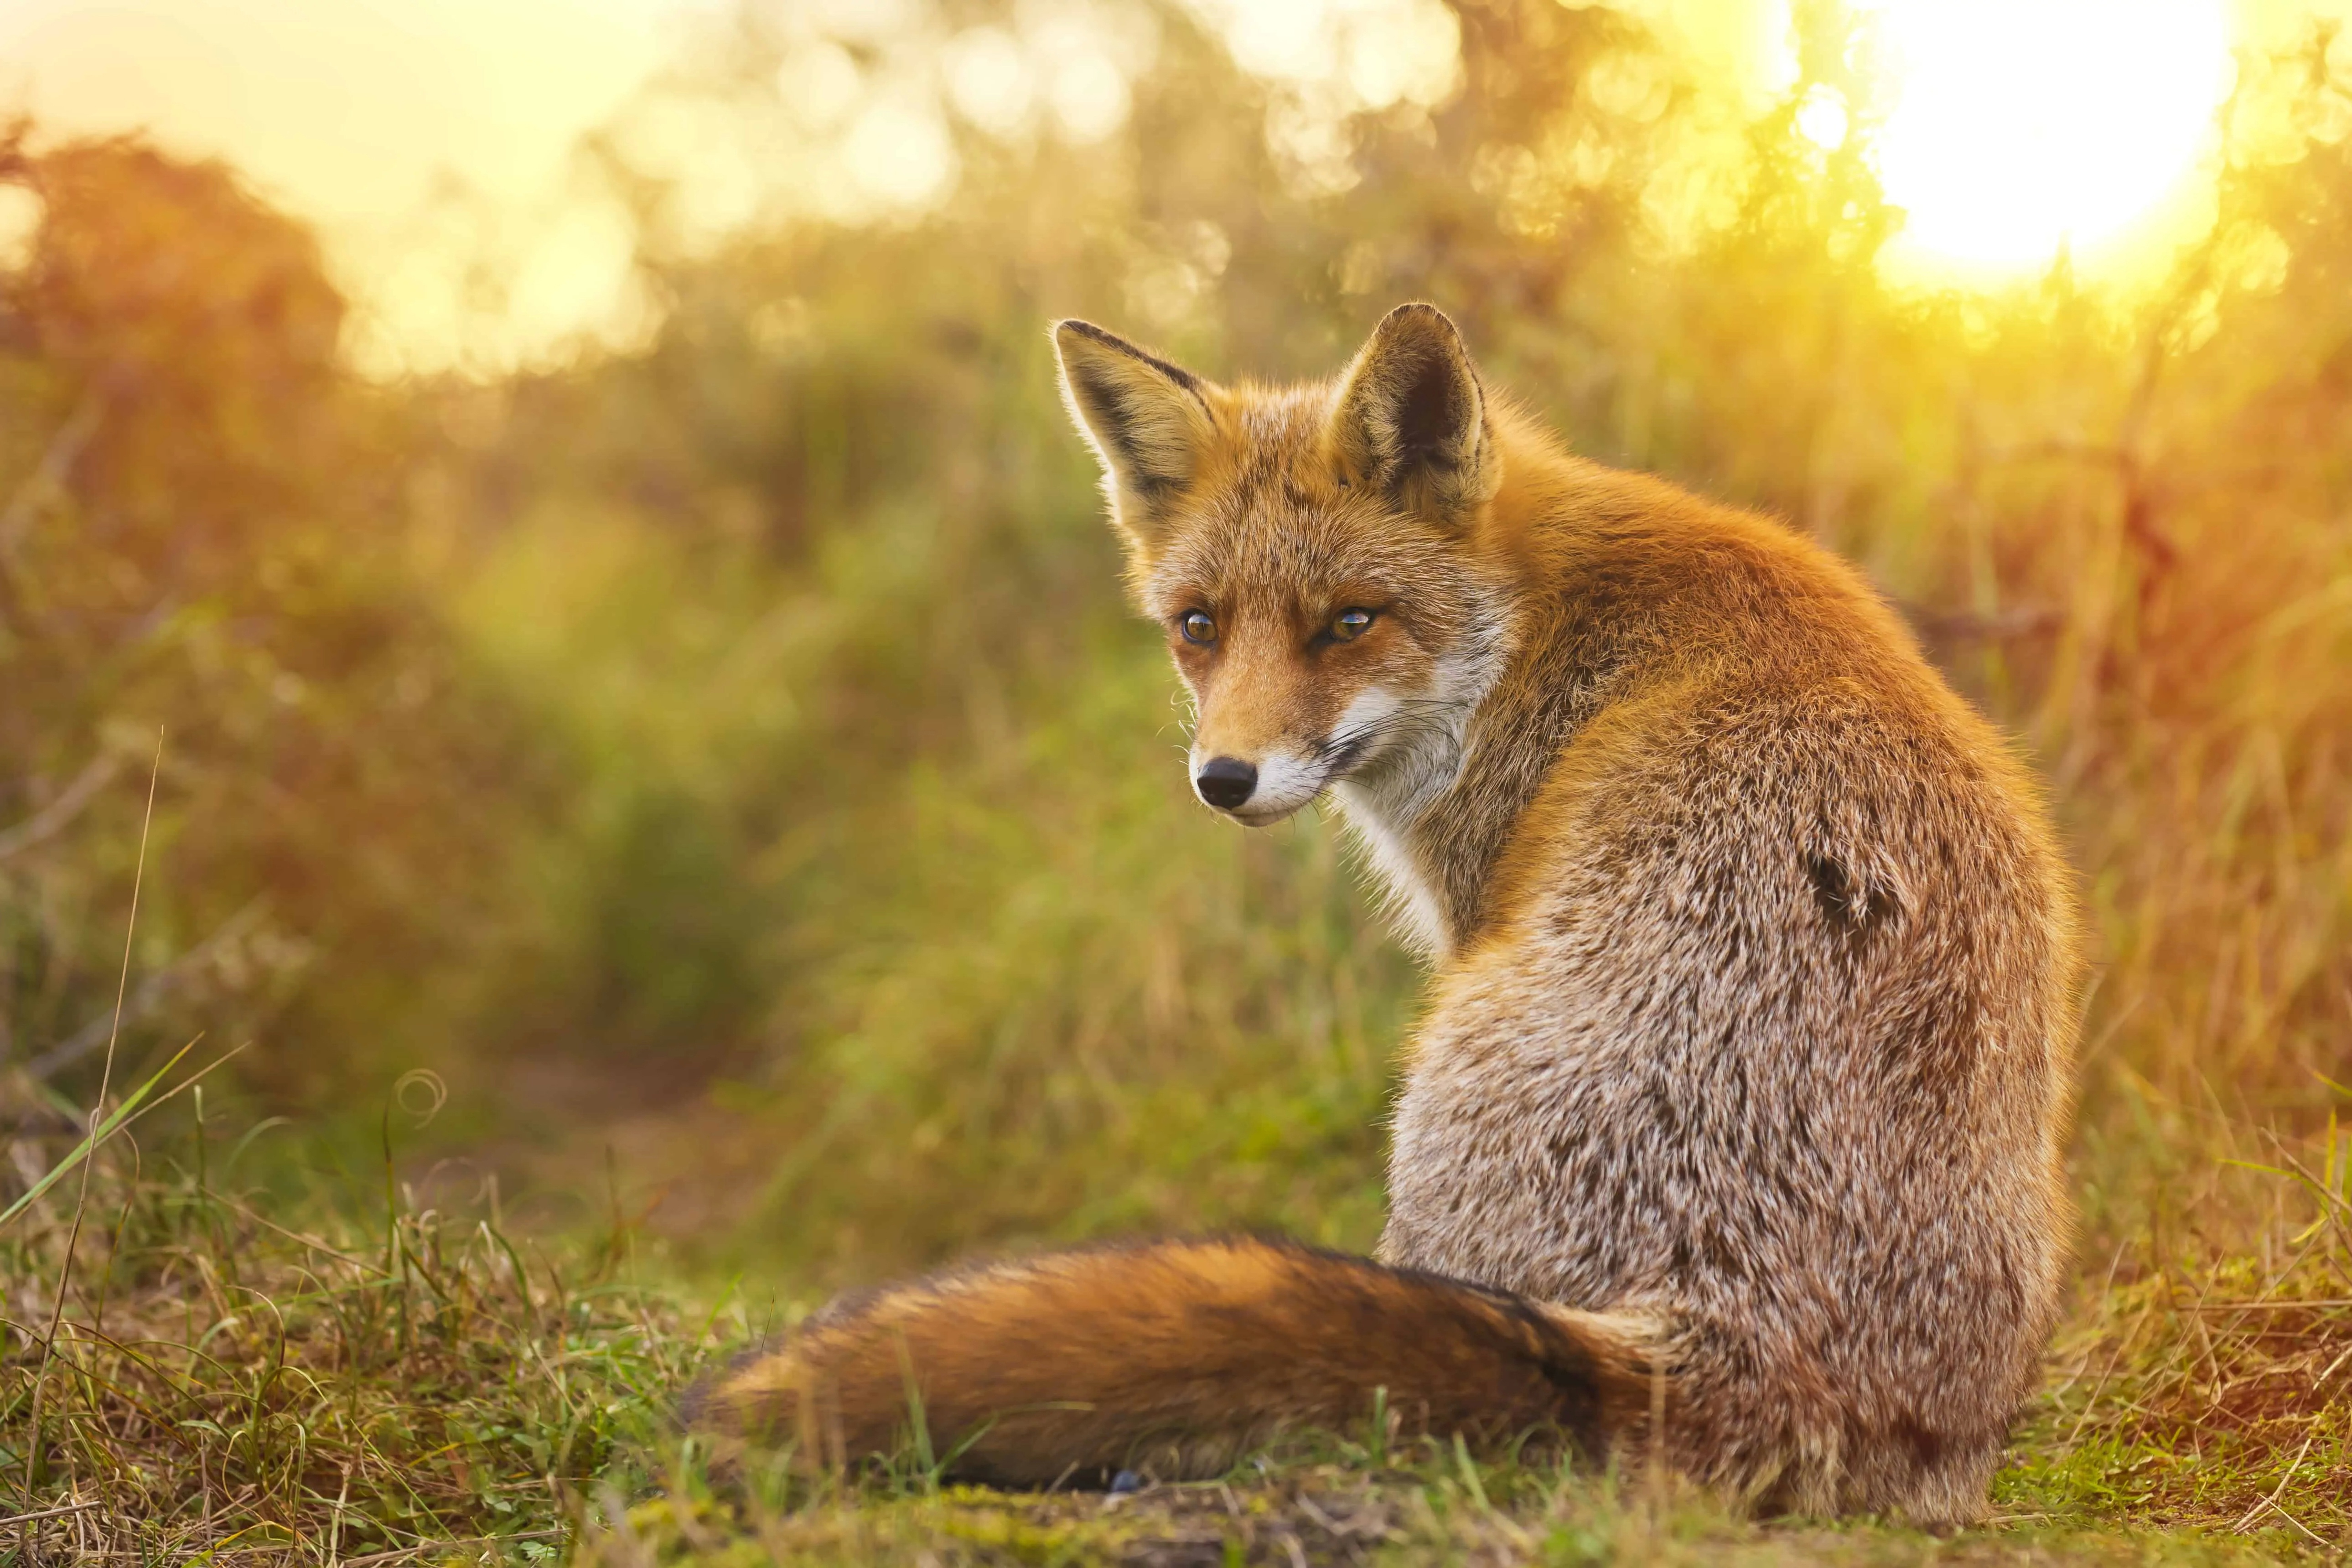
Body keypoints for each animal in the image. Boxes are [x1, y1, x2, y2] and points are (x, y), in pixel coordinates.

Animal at [688, 303, 2082, 1524]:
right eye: (1197, 627)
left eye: (1347, 622)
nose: (1224, 779)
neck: (1539, 624)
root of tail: (1734, 1349)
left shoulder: (1473, 910)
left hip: (1444, 1067)